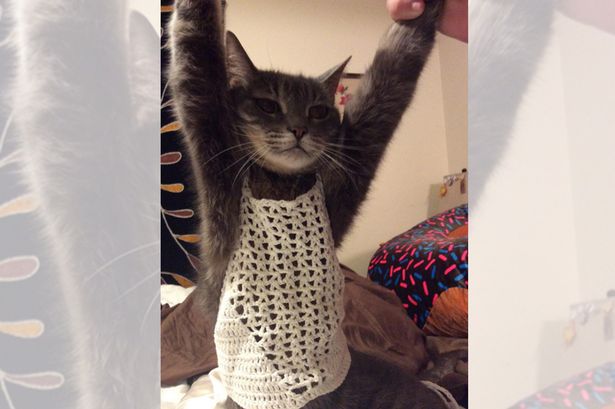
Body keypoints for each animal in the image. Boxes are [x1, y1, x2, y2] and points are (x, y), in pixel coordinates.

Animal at [168, 0, 455, 408]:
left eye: (319, 111)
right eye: (267, 105)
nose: (299, 129)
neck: (281, 183)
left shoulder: (349, 167)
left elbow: (394, 73)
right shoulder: (213, 148)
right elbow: (195, 45)